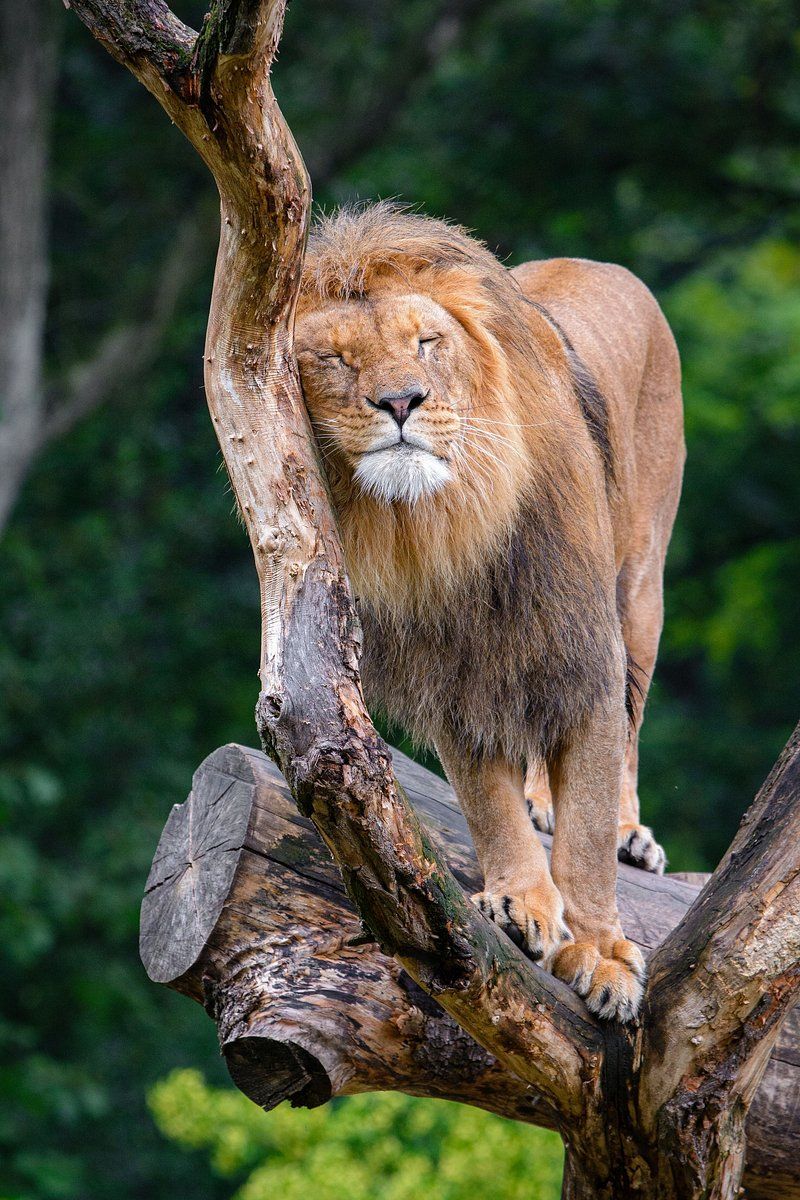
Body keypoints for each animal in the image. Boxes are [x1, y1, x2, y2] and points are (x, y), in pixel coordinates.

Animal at [294, 203, 684, 1021]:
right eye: (335, 359)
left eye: (426, 342)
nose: (400, 402)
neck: (446, 526)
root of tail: (600, 264)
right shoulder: (453, 673)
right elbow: (488, 802)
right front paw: (521, 905)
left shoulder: (584, 648)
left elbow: (588, 823)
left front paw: (601, 952)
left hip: (640, 587)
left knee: (629, 731)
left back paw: (630, 833)